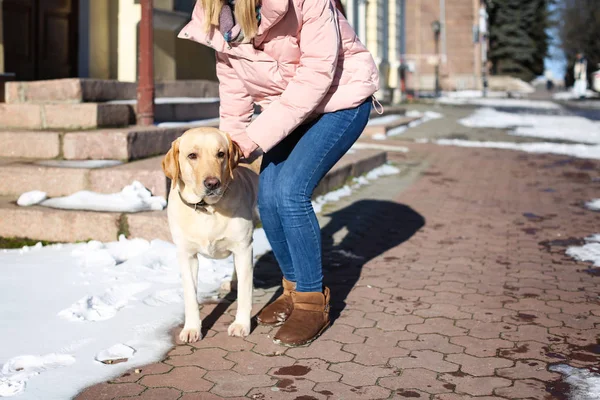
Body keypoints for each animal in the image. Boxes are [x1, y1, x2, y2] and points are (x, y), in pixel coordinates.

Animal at [163, 126, 258, 342]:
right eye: (192, 155)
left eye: (221, 154)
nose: (213, 183)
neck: (206, 208)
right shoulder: (186, 255)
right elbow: (190, 295)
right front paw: (192, 328)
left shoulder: (244, 247)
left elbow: (245, 294)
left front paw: (241, 324)